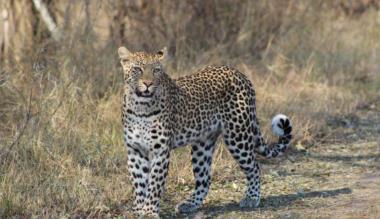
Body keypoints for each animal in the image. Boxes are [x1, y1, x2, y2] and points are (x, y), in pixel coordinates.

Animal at [118, 46, 290, 217]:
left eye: (156, 70)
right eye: (137, 69)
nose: (148, 83)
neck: (140, 108)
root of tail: (240, 74)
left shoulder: (160, 151)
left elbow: (154, 184)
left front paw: (149, 211)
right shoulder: (135, 151)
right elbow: (139, 183)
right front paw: (139, 210)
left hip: (238, 136)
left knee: (254, 167)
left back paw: (252, 197)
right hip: (202, 145)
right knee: (204, 179)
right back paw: (189, 204)